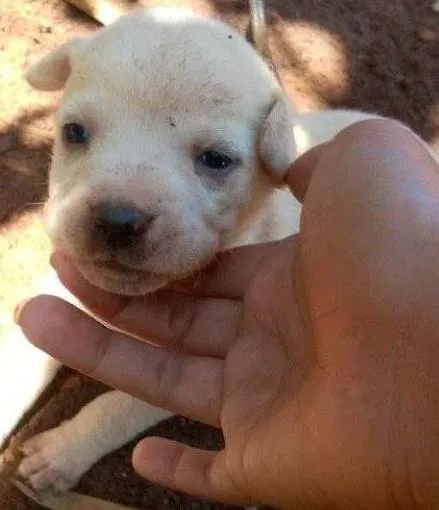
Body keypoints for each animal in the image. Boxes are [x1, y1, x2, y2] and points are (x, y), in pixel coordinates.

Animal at [0, 5, 382, 496]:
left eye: (217, 160)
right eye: (74, 132)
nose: (117, 219)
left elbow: (118, 408)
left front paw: (61, 453)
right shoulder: (56, 295)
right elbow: (17, 365)